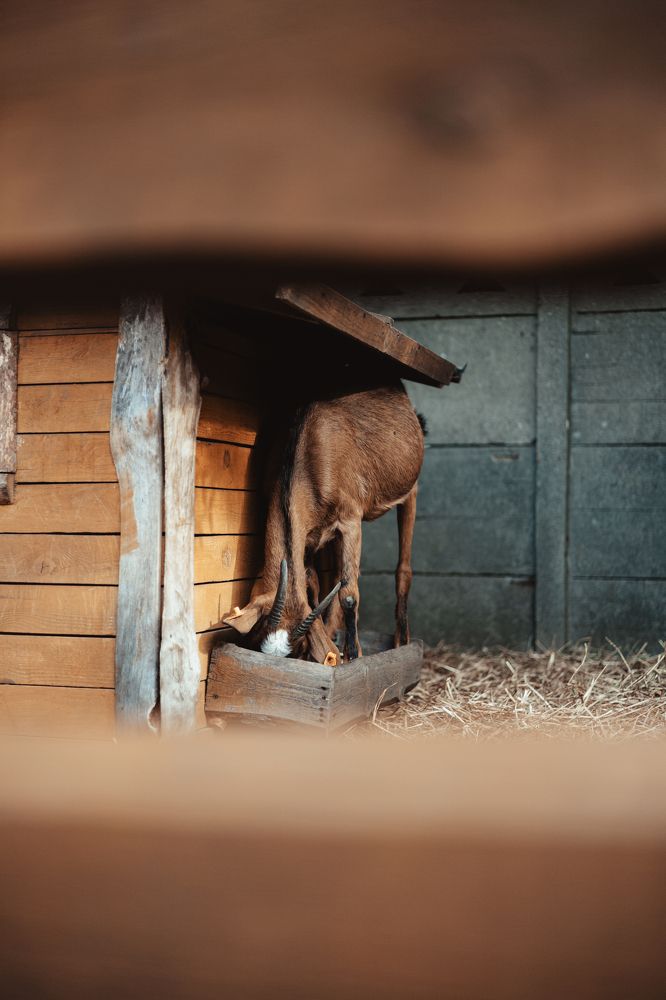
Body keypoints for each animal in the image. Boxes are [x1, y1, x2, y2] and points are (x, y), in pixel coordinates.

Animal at [223, 381, 425, 663]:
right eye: (259, 640)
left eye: (299, 649)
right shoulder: (307, 535)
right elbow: (314, 583)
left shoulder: (350, 520)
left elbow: (349, 594)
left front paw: (354, 655)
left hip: (409, 490)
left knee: (401, 569)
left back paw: (400, 641)